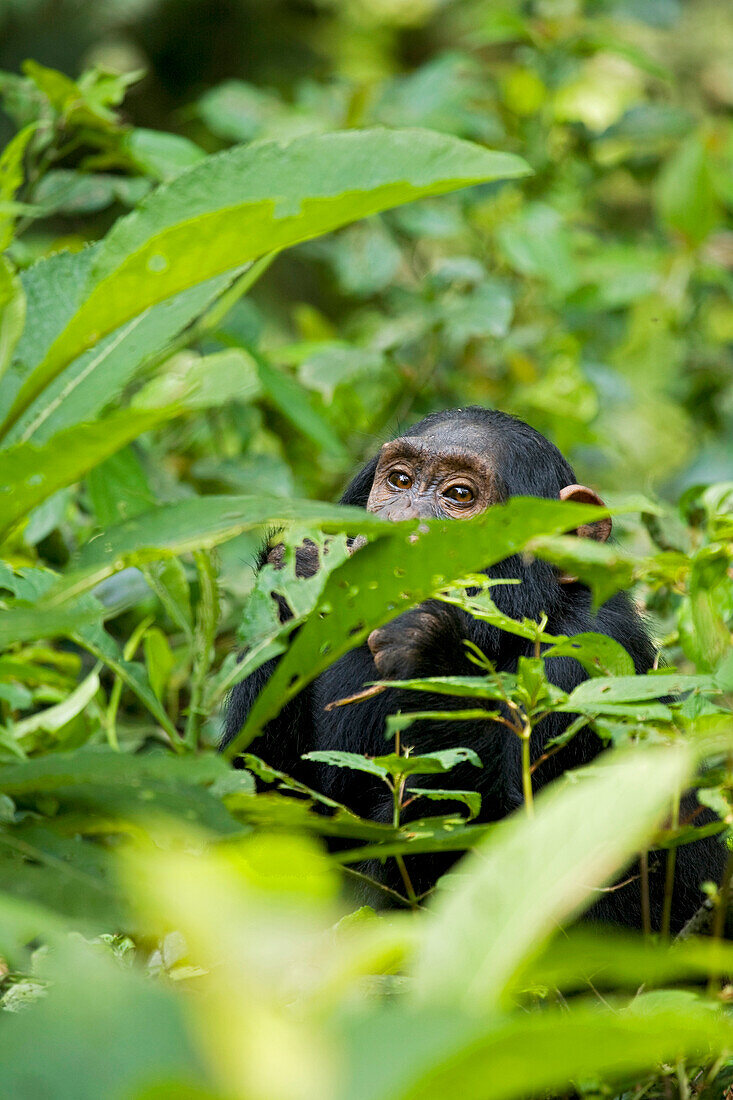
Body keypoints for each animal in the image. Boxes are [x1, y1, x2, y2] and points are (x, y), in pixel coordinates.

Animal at [221, 407, 717, 928]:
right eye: (399, 480)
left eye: (459, 495)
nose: (402, 523)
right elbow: (267, 817)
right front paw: (300, 574)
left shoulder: (589, 665)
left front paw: (422, 638)